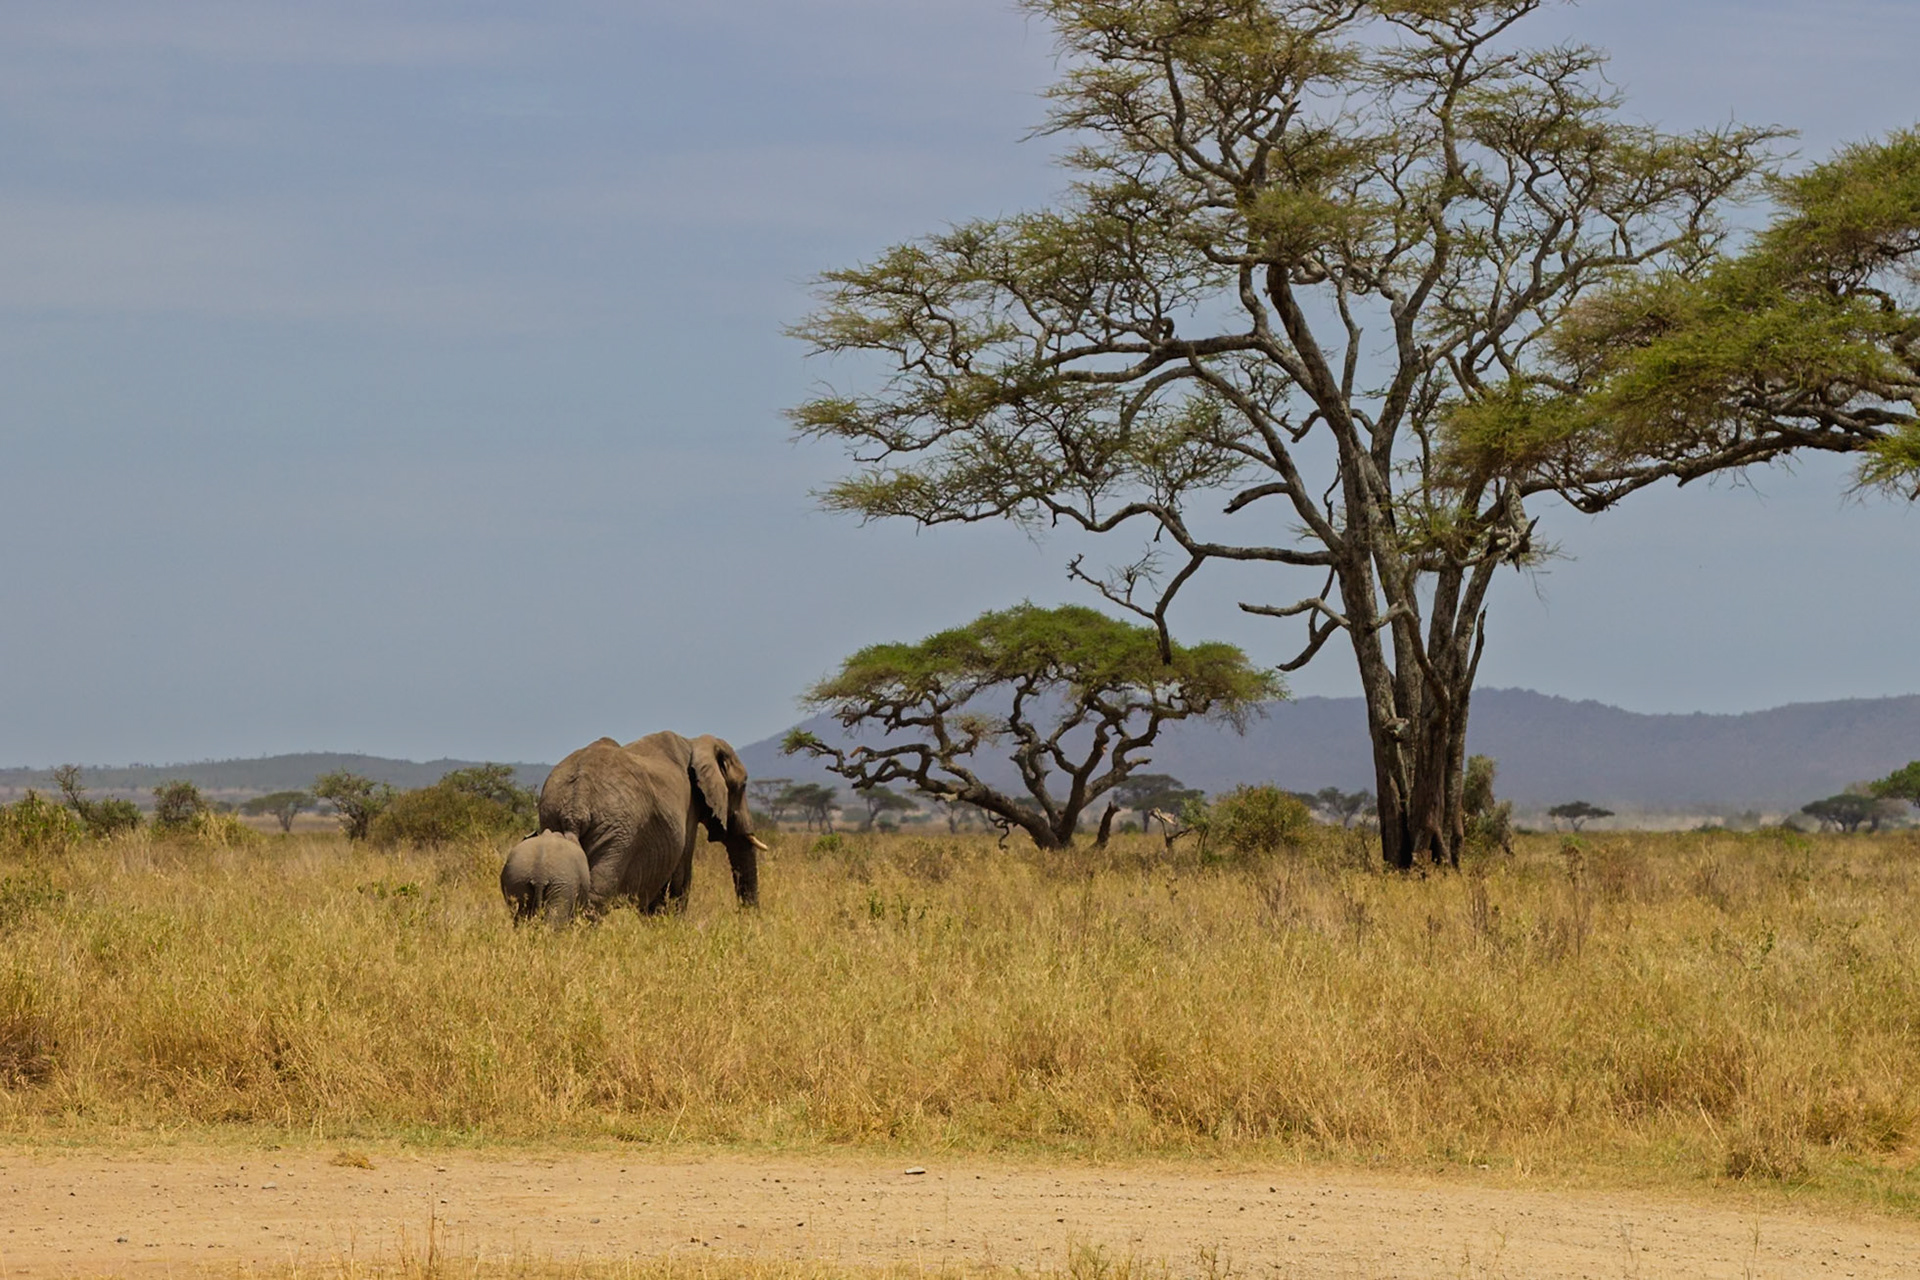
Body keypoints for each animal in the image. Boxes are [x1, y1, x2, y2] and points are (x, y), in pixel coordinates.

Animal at [536, 731, 765, 914]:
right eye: (743, 786)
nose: (742, 916)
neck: (694, 743)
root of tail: (577, 800)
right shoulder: (689, 808)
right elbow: (681, 876)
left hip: (554, 816)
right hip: (618, 834)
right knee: (598, 892)